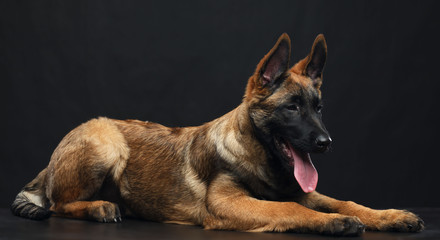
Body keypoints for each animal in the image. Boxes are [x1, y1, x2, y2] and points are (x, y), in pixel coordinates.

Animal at [11, 32, 422, 235]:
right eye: (291, 108)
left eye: (318, 108)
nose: (326, 143)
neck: (257, 155)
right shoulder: (227, 203)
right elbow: (288, 208)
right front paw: (330, 223)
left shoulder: (304, 190)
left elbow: (346, 202)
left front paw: (389, 216)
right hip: (105, 140)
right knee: (58, 204)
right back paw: (100, 207)